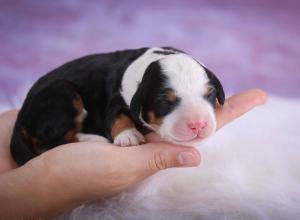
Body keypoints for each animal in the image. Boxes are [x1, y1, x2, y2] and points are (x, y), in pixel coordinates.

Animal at [9, 47, 225, 166]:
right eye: (165, 102)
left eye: (209, 94)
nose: (198, 125)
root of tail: (22, 114)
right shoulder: (116, 97)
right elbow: (117, 116)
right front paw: (128, 136)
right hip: (62, 92)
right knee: (47, 144)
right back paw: (92, 139)